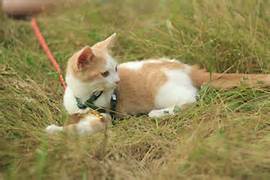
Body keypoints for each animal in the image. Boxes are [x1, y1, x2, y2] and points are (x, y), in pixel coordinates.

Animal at [46, 33, 270, 135]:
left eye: (116, 68)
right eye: (105, 73)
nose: (118, 81)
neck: (85, 97)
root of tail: (188, 69)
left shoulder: (105, 117)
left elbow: (80, 128)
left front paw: (55, 132)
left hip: (164, 92)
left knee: (191, 100)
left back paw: (158, 113)